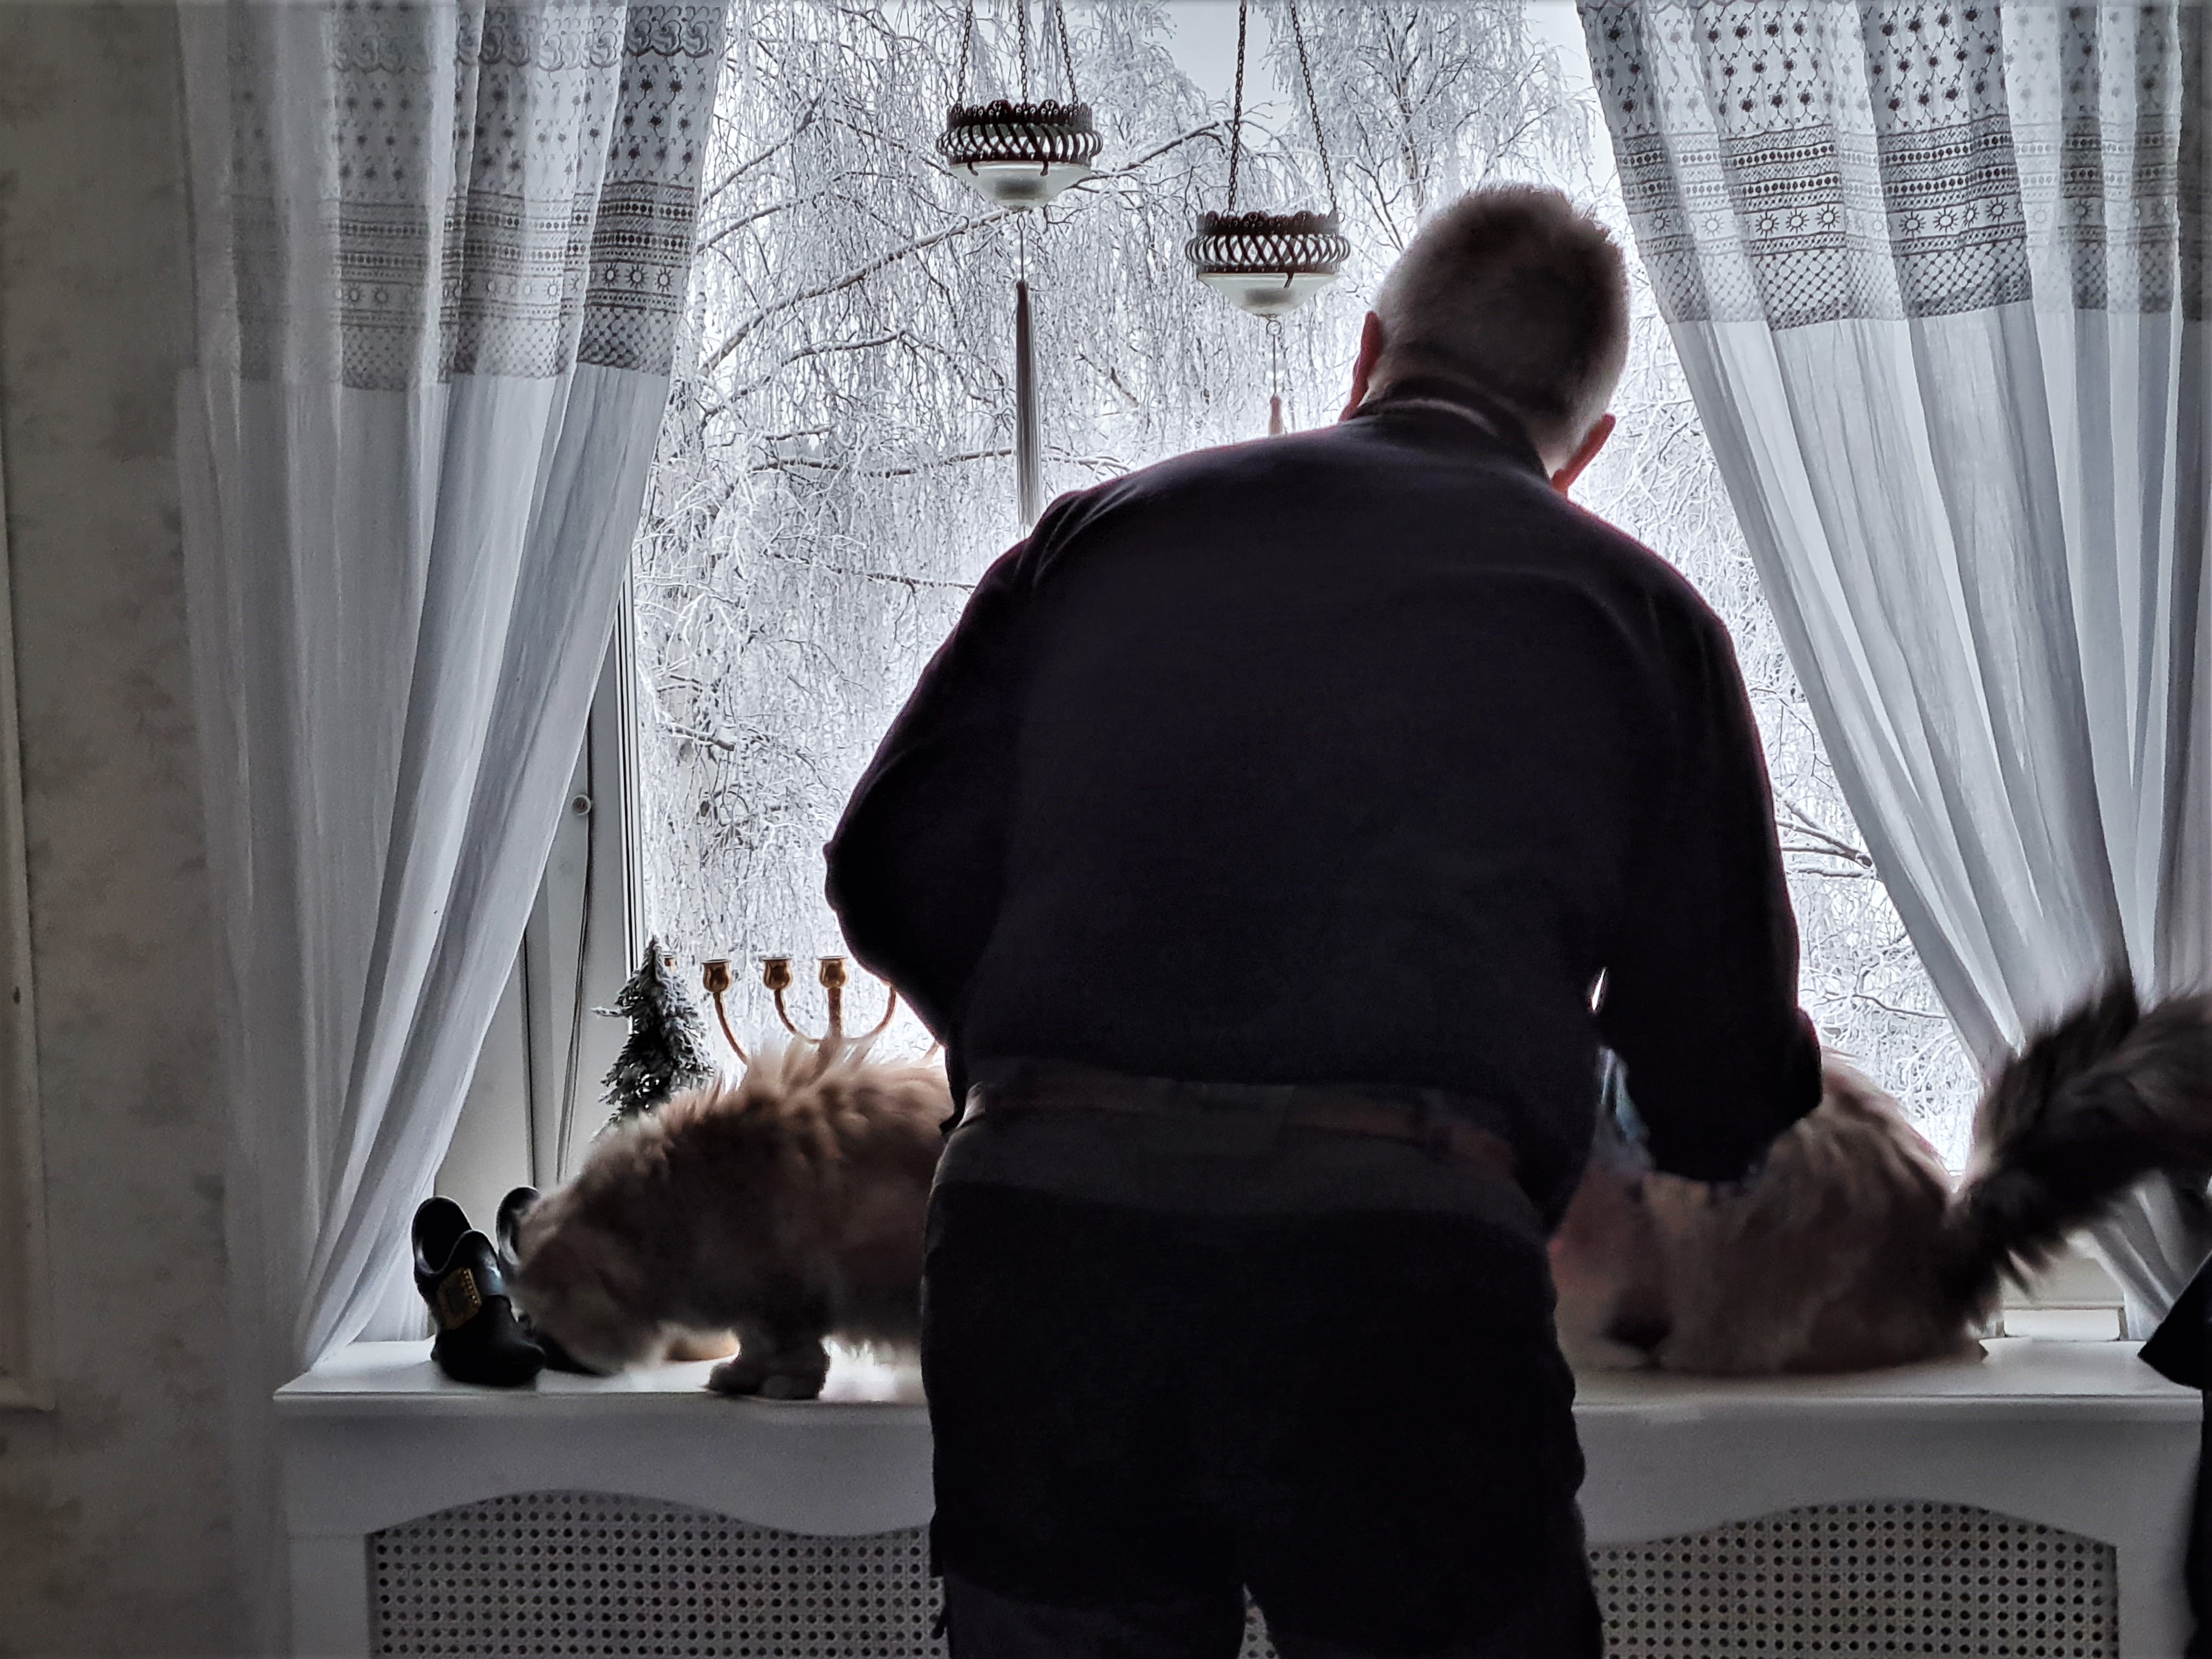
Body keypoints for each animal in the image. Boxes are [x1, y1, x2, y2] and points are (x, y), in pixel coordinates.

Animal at [505, 1040, 950, 1399]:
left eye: (546, 1317)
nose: (543, 1348)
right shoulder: (751, 1300)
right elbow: (753, 1347)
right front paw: (739, 1378)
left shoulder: (785, 1299)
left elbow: (798, 1355)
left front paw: (785, 1387)